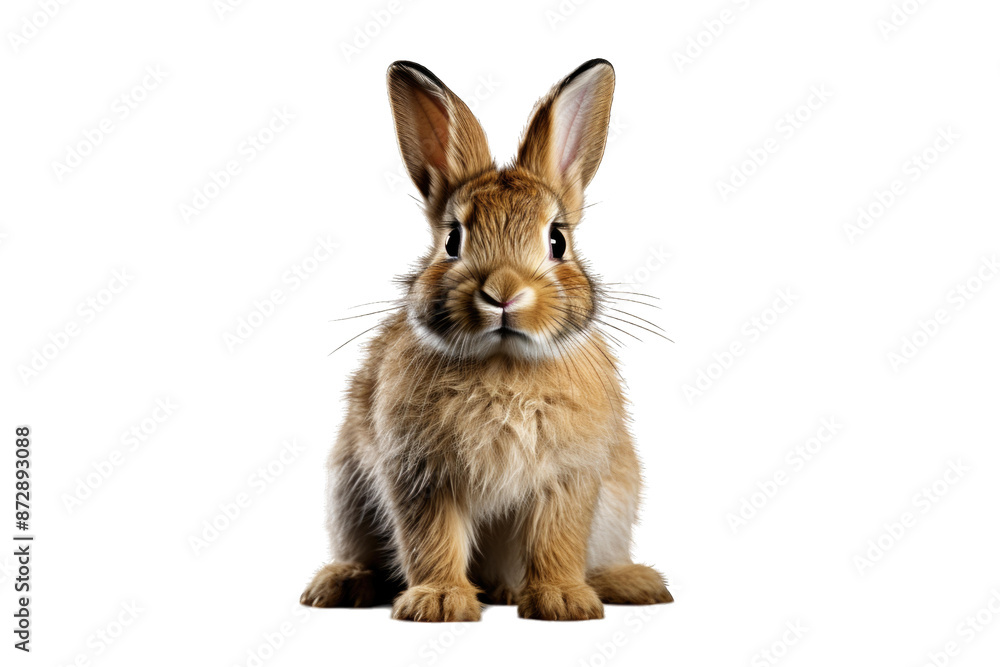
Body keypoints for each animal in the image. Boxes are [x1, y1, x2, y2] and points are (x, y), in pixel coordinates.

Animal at [300, 59, 672, 621]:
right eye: (453, 240)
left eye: (557, 239)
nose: (503, 292)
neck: (504, 362)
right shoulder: (421, 475)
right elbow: (431, 540)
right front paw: (437, 604)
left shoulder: (569, 478)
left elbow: (558, 540)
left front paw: (563, 602)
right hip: (347, 495)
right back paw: (340, 584)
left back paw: (630, 584)